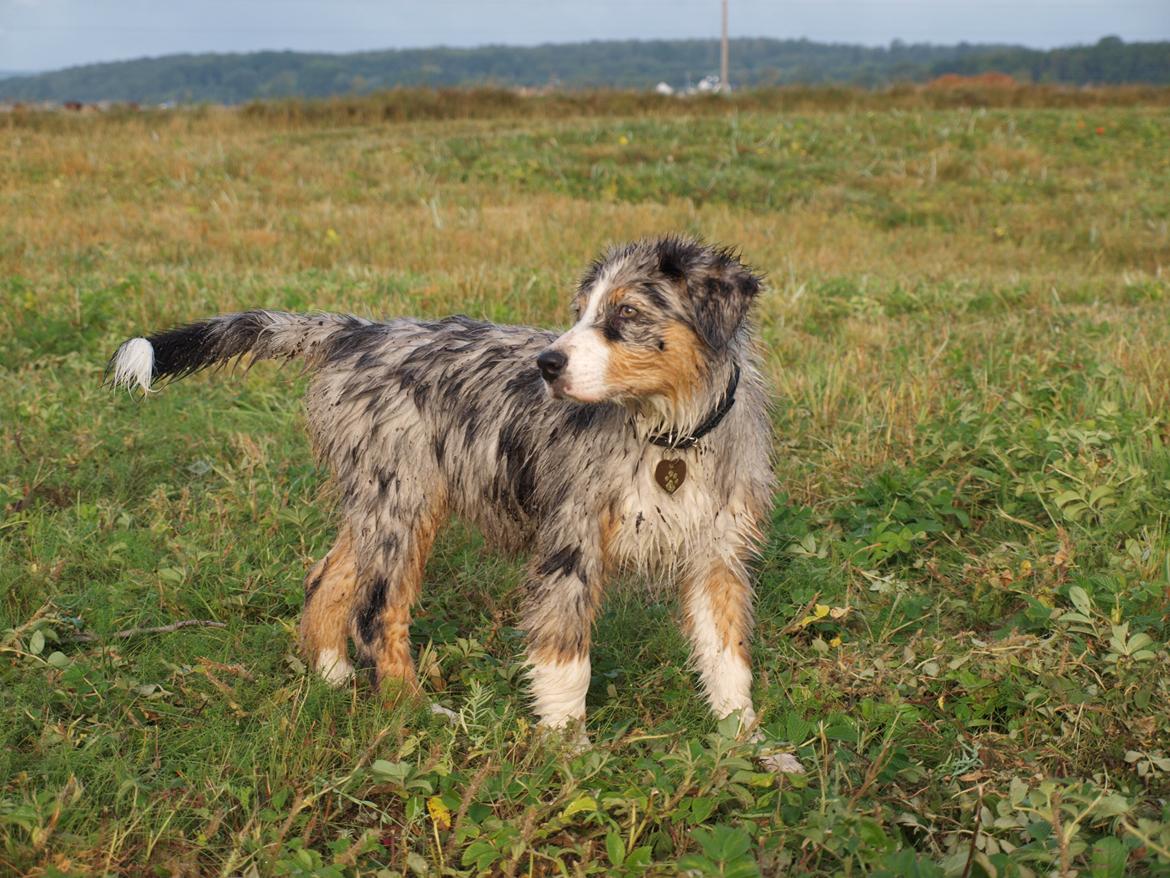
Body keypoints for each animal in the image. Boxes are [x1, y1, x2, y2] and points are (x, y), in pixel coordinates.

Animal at [107, 238, 804, 767]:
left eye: (628, 312)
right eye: (581, 311)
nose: (547, 364)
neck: (672, 435)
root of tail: (358, 333)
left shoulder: (717, 556)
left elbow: (729, 660)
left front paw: (751, 748)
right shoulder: (570, 545)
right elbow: (567, 660)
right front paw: (569, 753)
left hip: (380, 496)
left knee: (328, 579)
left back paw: (332, 675)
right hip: (405, 498)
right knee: (378, 613)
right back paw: (413, 711)